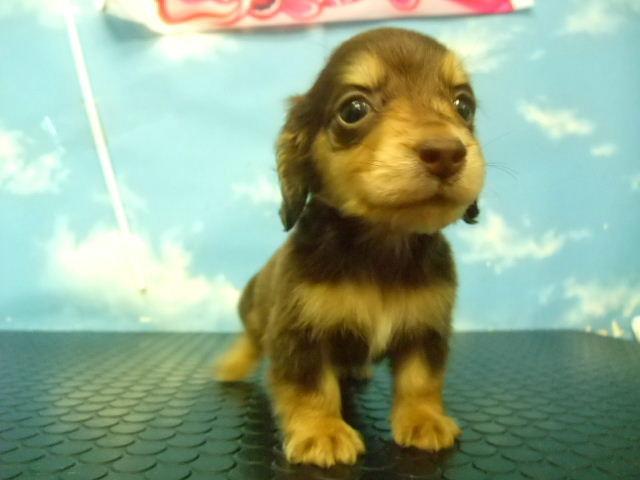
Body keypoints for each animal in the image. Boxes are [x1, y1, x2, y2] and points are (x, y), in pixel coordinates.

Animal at [215, 27, 485, 468]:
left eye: (464, 104)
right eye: (353, 110)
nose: (447, 153)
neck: (381, 250)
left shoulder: (427, 327)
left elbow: (421, 379)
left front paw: (425, 420)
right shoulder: (299, 334)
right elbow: (311, 387)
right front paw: (320, 431)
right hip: (255, 313)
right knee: (251, 340)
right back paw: (231, 365)